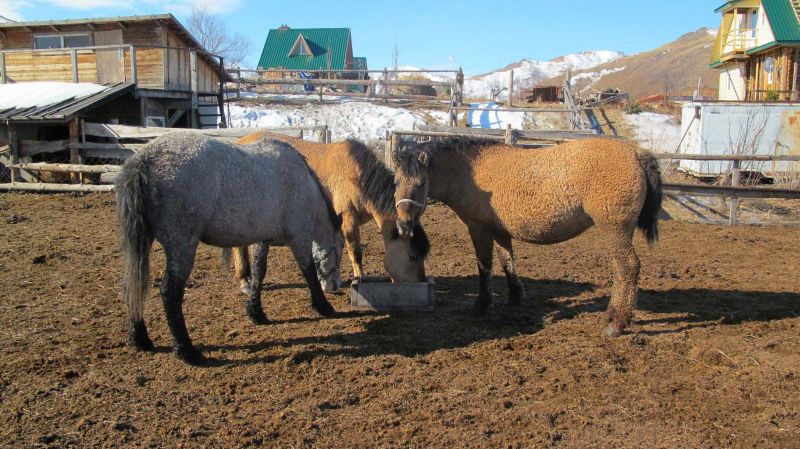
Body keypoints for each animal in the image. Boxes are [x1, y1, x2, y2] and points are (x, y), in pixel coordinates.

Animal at [117, 134, 342, 364]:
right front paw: (323, 306)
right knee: (169, 292)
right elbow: (309, 272)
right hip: (182, 246)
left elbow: (259, 273)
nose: (335, 286)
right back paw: (187, 351)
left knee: (133, 284)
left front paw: (256, 312)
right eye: (340, 248)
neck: (304, 181)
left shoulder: (262, 240)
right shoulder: (299, 236)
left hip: (144, 244)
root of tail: (143, 159)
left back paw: (140, 339)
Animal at [230, 131, 428, 292]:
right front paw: (359, 278)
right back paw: (244, 281)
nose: (421, 281)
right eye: (412, 256)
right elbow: (355, 251)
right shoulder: (348, 219)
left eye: (423, 255)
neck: (358, 177)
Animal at [394, 136, 664, 336]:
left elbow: (484, 267)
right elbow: (507, 263)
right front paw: (515, 297)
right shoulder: (499, 232)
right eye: (396, 182)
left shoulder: (479, 229)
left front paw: (482, 304)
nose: (404, 224)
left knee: (627, 268)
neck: (472, 172)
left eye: (420, 183)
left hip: (614, 230)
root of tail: (636, 153)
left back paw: (616, 322)